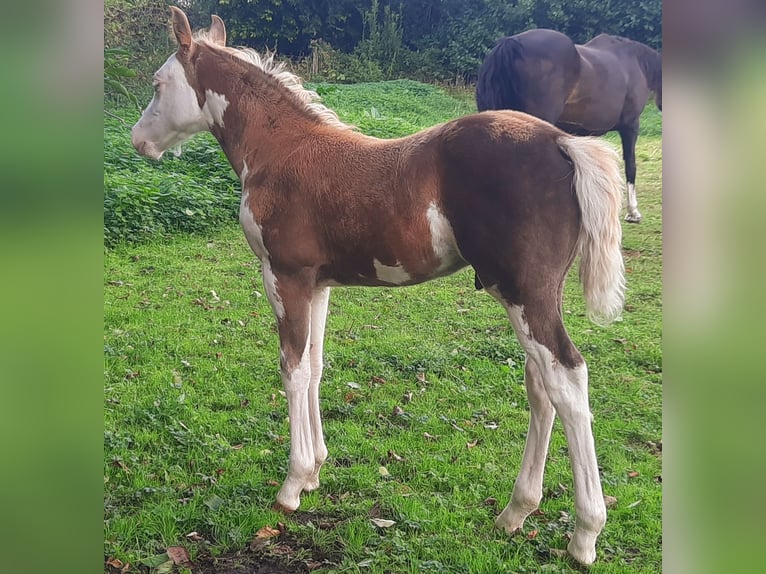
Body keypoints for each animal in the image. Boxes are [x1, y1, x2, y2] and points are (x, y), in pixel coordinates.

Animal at [132, 7, 626, 566]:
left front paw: (292, 485)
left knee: (567, 380)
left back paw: (584, 534)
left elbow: (292, 370)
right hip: (526, 295)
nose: (137, 141)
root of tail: (564, 143)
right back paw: (516, 513)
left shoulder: (284, 275)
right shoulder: (317, 284)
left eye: (158, 84)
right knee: (541, 385)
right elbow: (316, 367)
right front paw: (317, 471)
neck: (279, 147)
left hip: (526, 292)